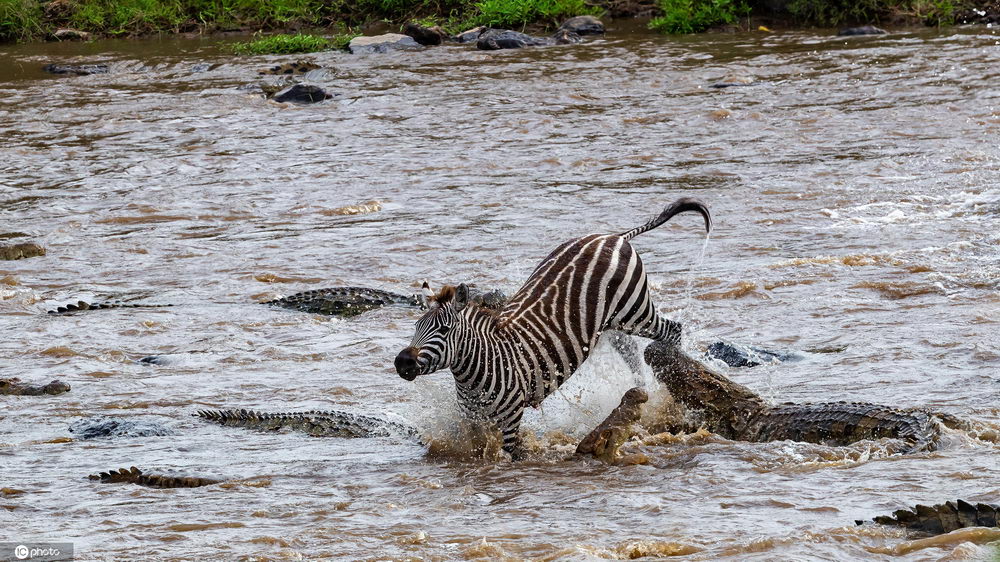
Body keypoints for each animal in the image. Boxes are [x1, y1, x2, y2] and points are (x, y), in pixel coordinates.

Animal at [394, 197, 716, 456]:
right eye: (416, 327)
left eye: (444, 330)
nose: (401, 362)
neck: (477, 371)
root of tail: (614, 237)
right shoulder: (472, 422)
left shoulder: (511, 420)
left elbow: (513, 456)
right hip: (611, 323)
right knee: (632, 353)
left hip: (635, 311)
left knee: (672, 329)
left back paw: (673, 388)